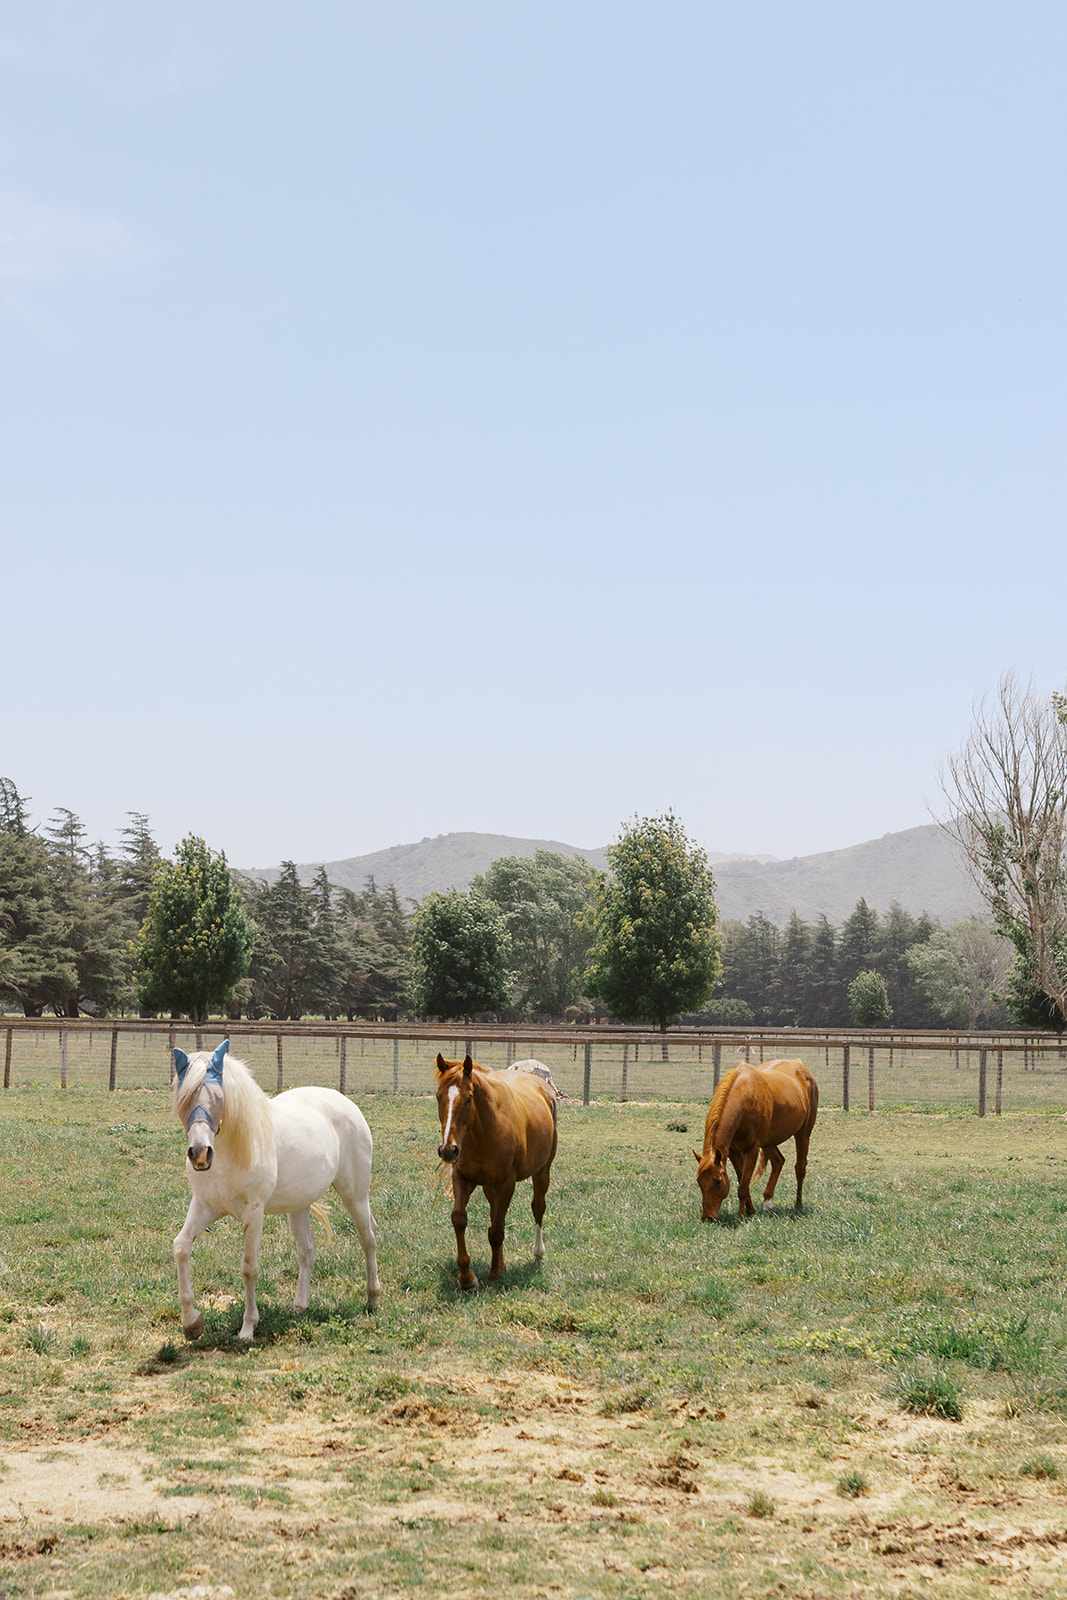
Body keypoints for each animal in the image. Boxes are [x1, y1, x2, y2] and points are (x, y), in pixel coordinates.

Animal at [172, 1040, 382, 1341]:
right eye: (184, 1098)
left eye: (218, 1097)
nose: (200, 1153)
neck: (233, 1149)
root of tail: (347, 1103)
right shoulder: (204, 1206)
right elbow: (181, 1248)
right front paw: (191, 1323)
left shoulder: (254, 1212)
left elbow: (249, 1269)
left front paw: (248, 1327)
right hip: (299, 1204)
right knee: (307, 1249)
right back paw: (300, 1306)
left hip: (355, 1194)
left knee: (368, 1239)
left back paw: (373, 1298)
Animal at [435, 1053, 558, 1290]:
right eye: (438, 1097)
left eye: (468, 1098)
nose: (448, 1150)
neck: (483, 1133)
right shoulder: (462, 1178)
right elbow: (460, 1219)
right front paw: (467, 1277)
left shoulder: (506, 1183)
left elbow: (496, 1231)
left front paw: (493, 1276)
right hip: (490, 1186)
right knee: (495, 1214)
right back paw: (501, 1264)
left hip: (542, 1171)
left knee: (538, 1207)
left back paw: (537, 1252)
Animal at [694, 1058, 818, 1222]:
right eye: (699, 1182)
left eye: (718, 1181)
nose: (708, 1218)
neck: (743, 1097)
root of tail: (798, 1063)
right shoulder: (732, 1151)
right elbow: (742, 1180)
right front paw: (750, 1211)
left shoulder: (751, 1149)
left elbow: (743, 1186)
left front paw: (741, 1217)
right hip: (768, 1142)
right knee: (778, 1161)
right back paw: (768, 1202)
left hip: (803, 1134)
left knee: (800, 1168)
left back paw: (798, 1205)